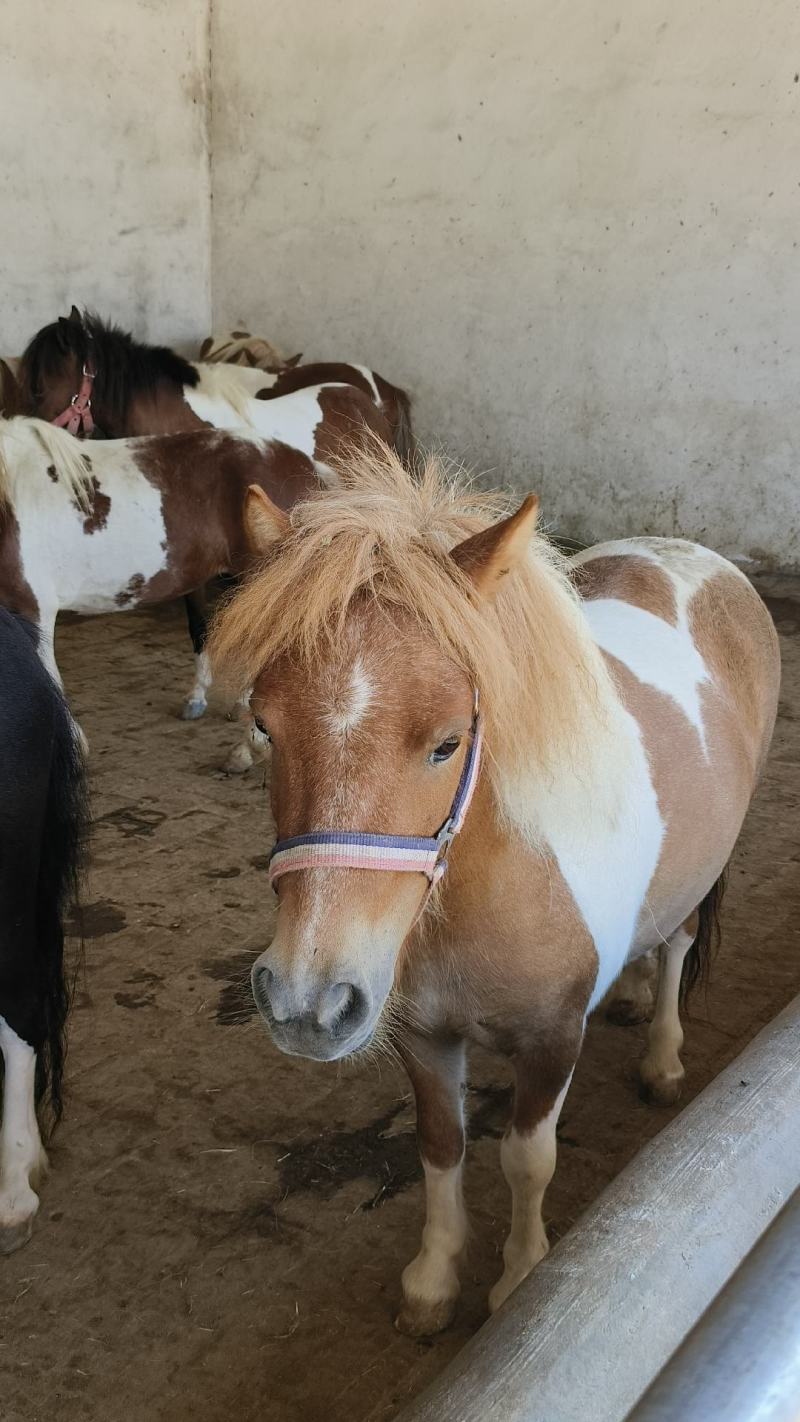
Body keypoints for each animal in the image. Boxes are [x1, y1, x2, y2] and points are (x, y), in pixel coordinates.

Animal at [207, 442, 780, 1335]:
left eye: (448, 742)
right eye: (265, 726)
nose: (307, 1004)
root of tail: (703, 560)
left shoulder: (550, 1042)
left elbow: (525, 1159)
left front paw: (518, 1279)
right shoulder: (421, 1037)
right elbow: (442, 1146)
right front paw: (433, 1279)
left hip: (704, 876)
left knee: (680, 949)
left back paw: (661, 1057)